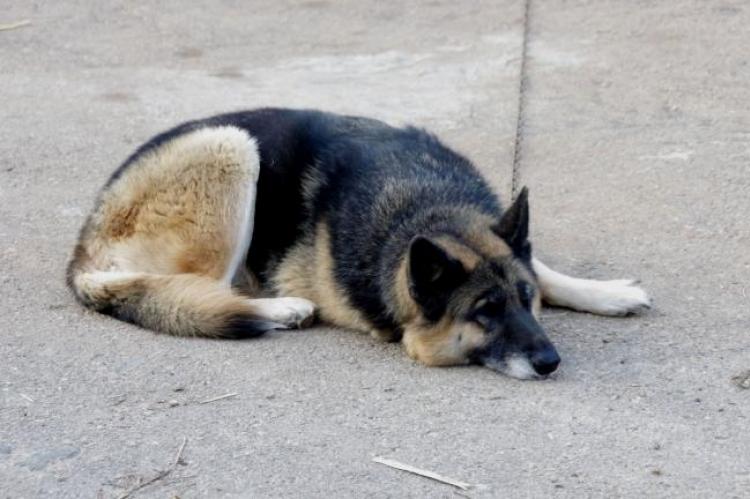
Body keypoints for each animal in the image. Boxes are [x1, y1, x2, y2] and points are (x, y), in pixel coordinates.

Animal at [66, 108, 652, 378]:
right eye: (484, 313)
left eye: (525, 301)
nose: (550, 361)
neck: (426, 207)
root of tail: (84, 248)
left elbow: (545, 268)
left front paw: (608, 292)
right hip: (230, 147)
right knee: (200, 288)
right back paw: (281, 308)